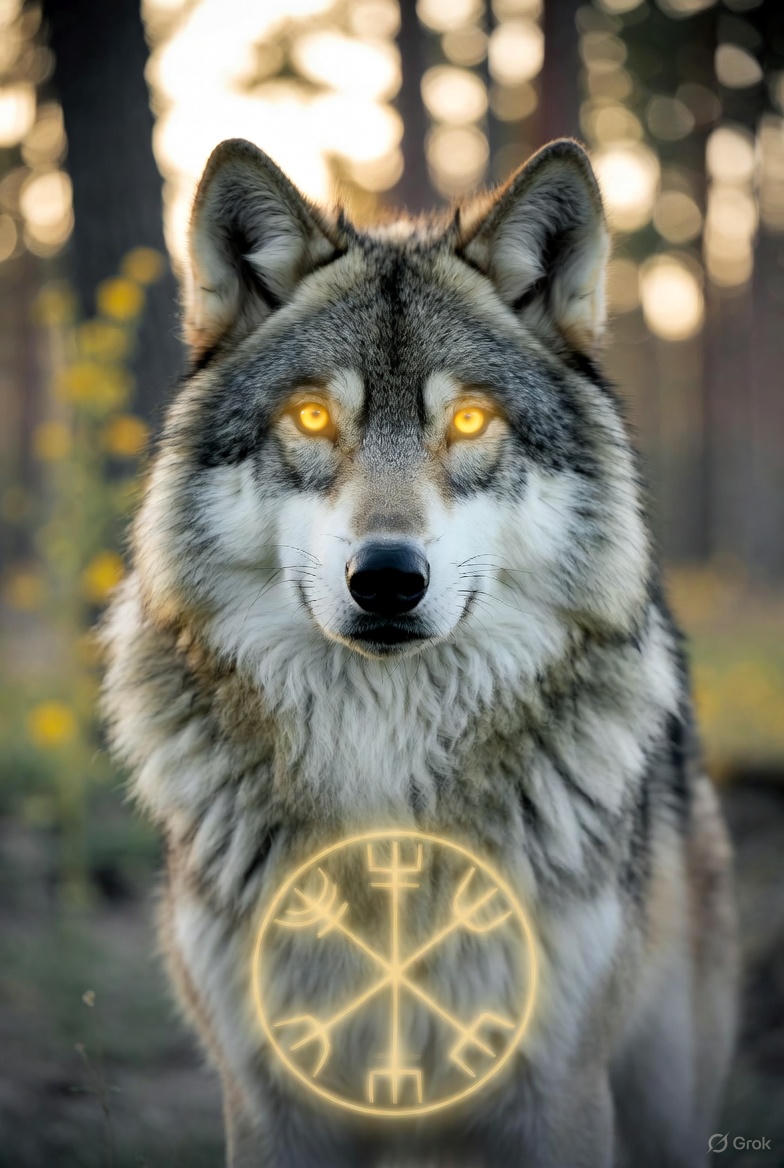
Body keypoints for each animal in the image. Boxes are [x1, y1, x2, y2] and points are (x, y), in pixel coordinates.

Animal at [102, 137, 737, 1167]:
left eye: (471, 421)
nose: (388, 578)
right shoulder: (272, 1095)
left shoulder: (558, 1089)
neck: (383, 763)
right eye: (313, 419)